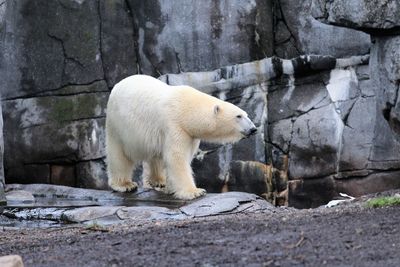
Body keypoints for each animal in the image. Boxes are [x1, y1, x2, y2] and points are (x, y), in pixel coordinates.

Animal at [106, 74, 256, 200]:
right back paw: (125, 184)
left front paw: (170, 187)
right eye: (238, 116)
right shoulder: (174, 125)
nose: (253, 129)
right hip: (118, 124)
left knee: (155, 155)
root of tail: (117, 85)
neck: (186, 109)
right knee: (119, 155)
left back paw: (159, 181)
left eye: (246, 114)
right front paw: (195, 192)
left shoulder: (190, 134)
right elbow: (177, 157)